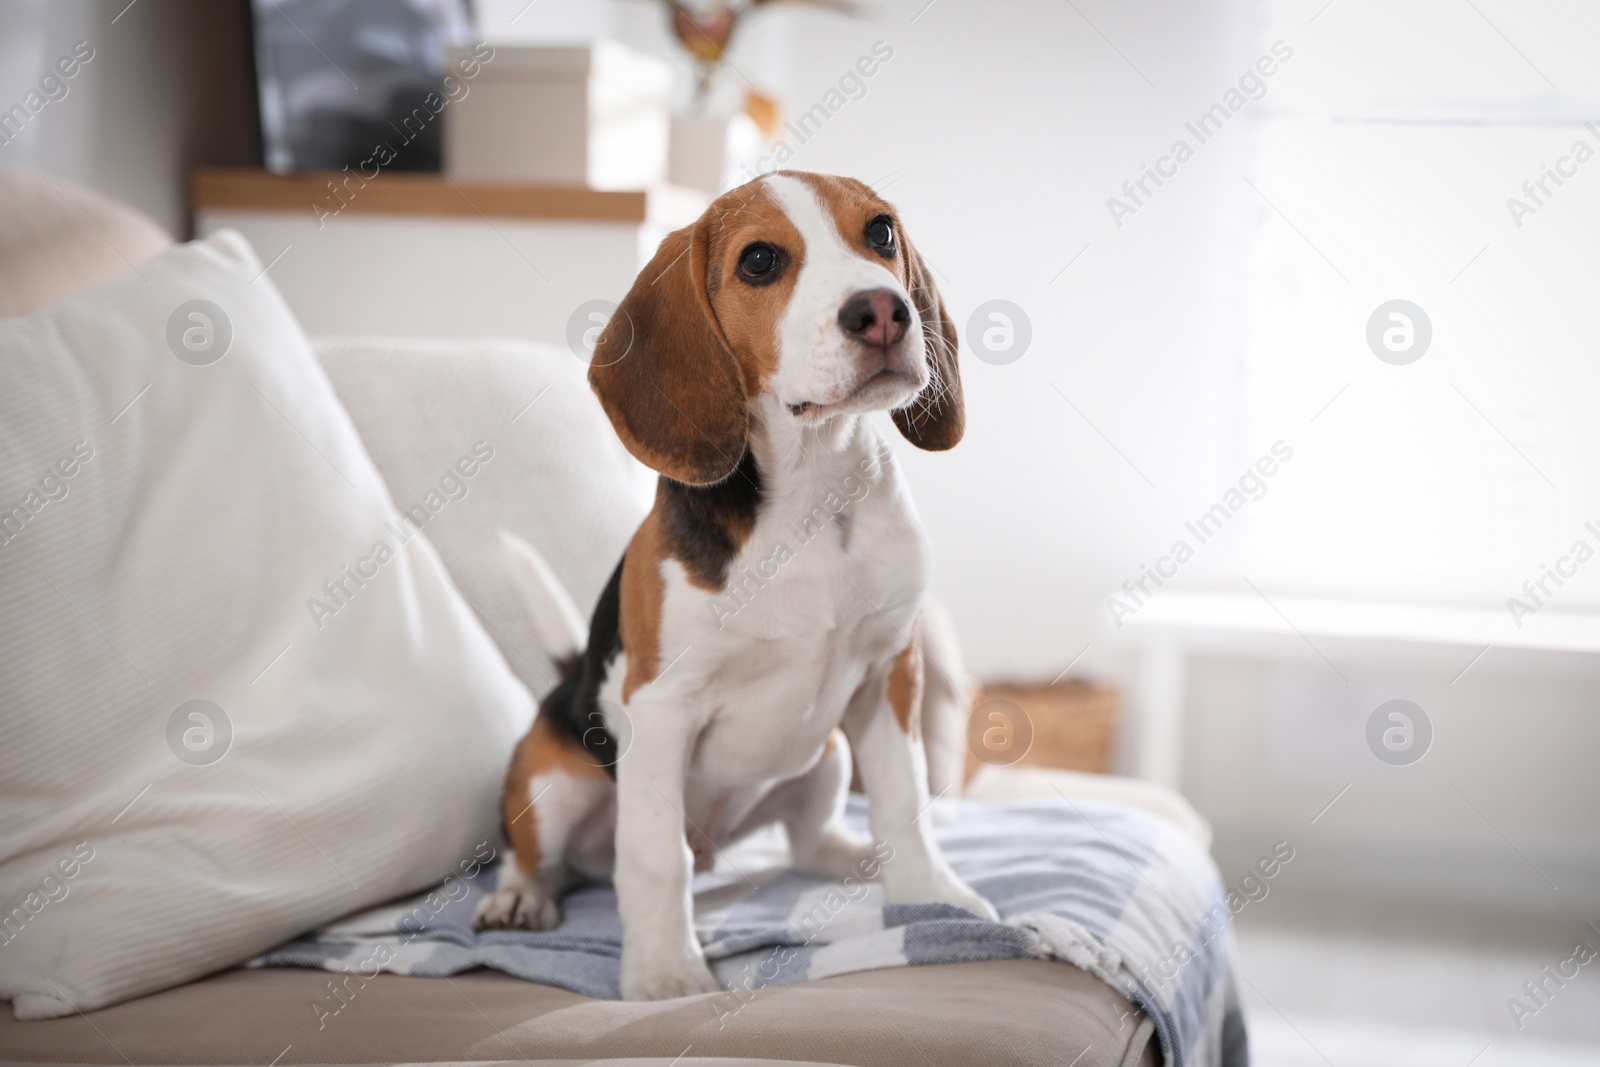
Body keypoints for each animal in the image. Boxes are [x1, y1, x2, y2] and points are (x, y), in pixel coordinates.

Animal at [473, 168, 992, 1004]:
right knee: (542, 855)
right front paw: (664, 972)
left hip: (826, 753)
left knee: (808, 840)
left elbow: (904, 800)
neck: (815, 486)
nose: (883, 310)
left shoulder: (890, 673)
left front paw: (930, 895)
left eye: (880, 232)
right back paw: (521, 896)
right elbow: (656, 857)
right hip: (550, 777)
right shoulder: (661, 709)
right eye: (759, 262)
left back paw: (853, 859)